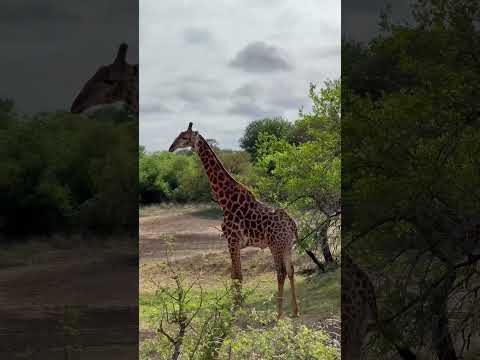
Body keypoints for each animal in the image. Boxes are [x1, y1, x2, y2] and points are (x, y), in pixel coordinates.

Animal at [167, 123, 298, 318]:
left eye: (184, 137)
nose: (171, 148)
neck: (225, 199)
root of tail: (292, 224)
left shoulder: (232, 239)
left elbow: (237, 275)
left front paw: (236, 307)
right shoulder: (234, 242)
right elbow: (234, 275)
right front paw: (237, 304)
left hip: (276, 245)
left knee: (281, 272)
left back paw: (279, 313)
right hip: (287, 244)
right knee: (291, 270)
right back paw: (295, 311)